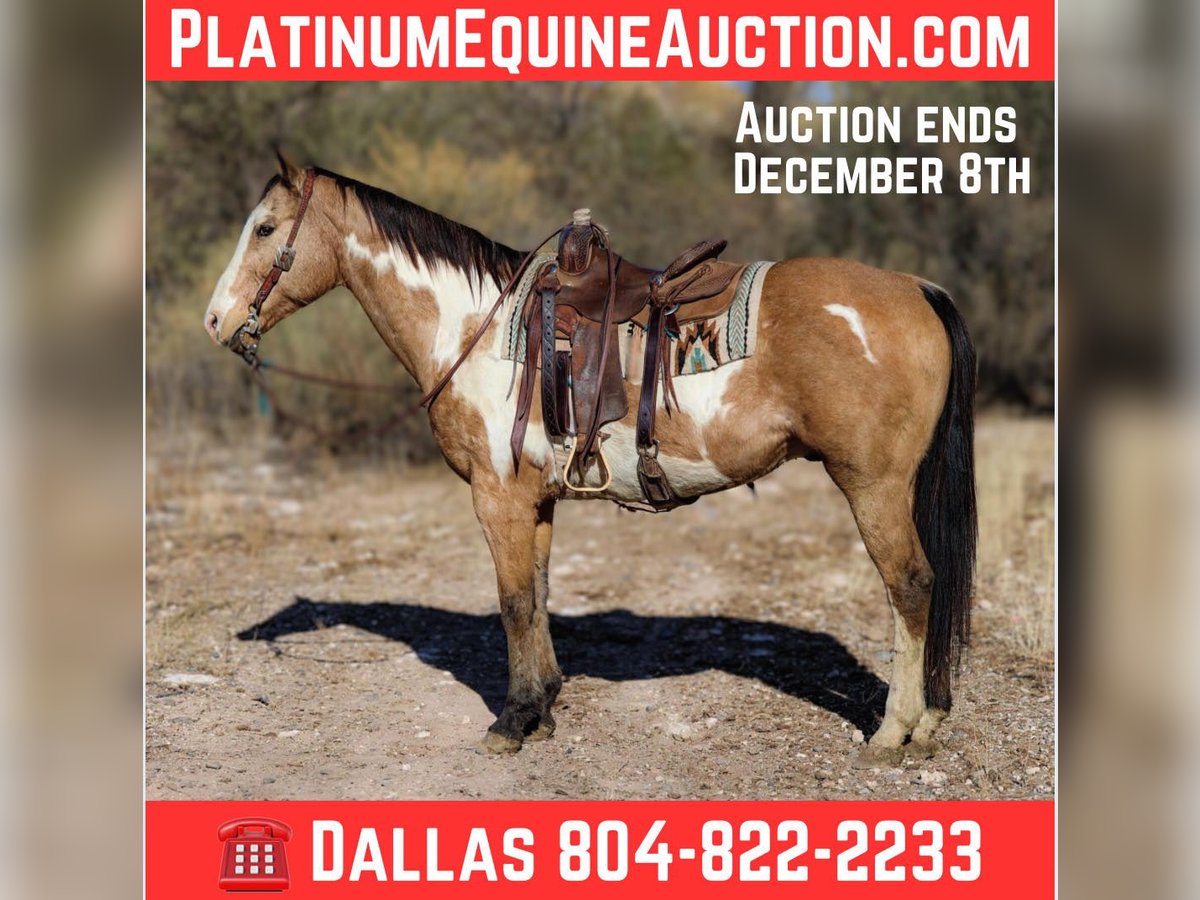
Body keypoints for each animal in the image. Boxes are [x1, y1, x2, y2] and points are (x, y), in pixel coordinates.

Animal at [204, 154, 976, 763]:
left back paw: (895, 731)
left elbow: (513, 601)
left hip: (874, 484)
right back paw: (930, 720)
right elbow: (541, 593)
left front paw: (512, 721)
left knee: (911, 585)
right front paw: (543, 707)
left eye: (265, 230)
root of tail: (915, 287)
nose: (214, 320)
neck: (475, 326)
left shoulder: (496, 496)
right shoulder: (536, 500)